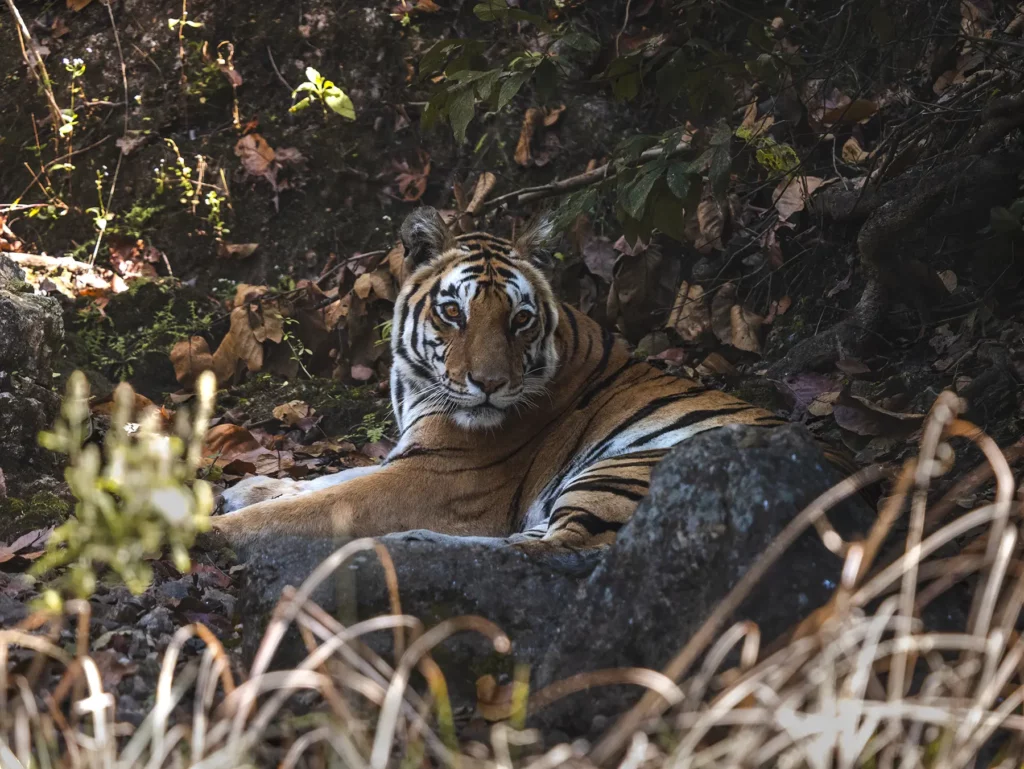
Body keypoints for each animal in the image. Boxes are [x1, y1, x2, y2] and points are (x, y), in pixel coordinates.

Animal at [211, 206, 825, 553]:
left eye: (520, 319)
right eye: (453, 312)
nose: (487, 384)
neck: (416, 387)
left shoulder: (437, 476)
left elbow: (314, 507)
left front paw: (213, 531)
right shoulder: (411, 457)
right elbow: (331, 478)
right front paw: (243, 489)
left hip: (629, 467)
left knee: (559, 551)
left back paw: (413, 540)